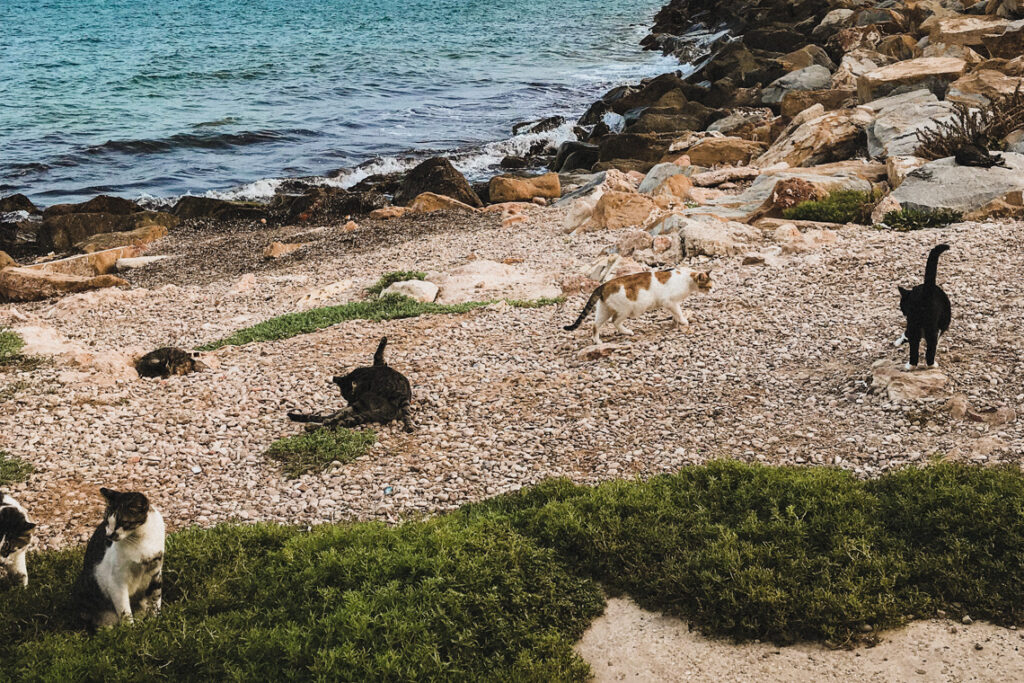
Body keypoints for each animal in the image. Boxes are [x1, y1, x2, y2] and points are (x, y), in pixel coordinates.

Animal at [561, 266, 712, 342]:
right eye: (709, 286)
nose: (713, 290)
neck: (687, 278)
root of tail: (603, 285)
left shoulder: (672, 304)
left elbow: (675, 313)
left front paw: (675, 323)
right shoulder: (670, 302)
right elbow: (678, 312)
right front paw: (683, 322)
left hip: (604, 310)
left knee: (595, 325)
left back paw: (597, 341)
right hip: (625, 310)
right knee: (615, 321)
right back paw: (627, 332)